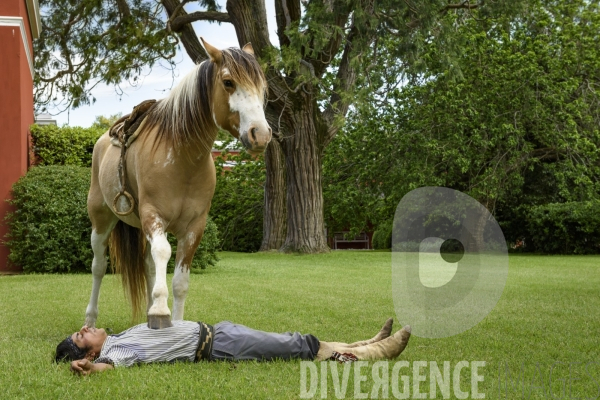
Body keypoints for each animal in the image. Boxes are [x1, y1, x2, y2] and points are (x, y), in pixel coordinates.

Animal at [84, 39, 272, 330]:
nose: (260, 135)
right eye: (228, 82)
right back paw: (91, 320)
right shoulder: (154, 217)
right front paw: (161, 310)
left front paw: (175, 322)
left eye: (262, 87)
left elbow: (180, 281)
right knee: (99, 266)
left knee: (148, 265)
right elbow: (164, 252)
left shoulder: (194, 228)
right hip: (101, 221)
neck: (182, 158)